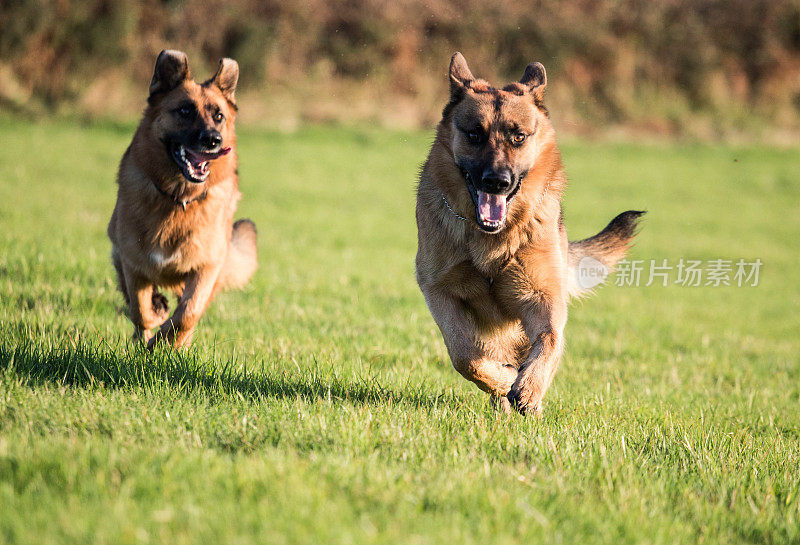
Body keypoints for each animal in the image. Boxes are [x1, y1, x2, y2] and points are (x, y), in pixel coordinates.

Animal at [108, 50, 258, 348]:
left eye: (219, 115)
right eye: (185, 111)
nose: (213, 140)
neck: (178, 199)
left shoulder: (206, 268)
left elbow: (188, 313)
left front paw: (165, 342)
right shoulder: (133, 263)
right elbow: (140, 310)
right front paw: (153, 322)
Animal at [416, 53, 640, 414]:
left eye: (518, 137)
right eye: (475, 135)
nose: (497, 182)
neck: (491, 239)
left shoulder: (543, 296)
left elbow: (550, 339)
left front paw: (530, 388)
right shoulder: (439, 290)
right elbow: (465, 354)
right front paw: (504, 379)